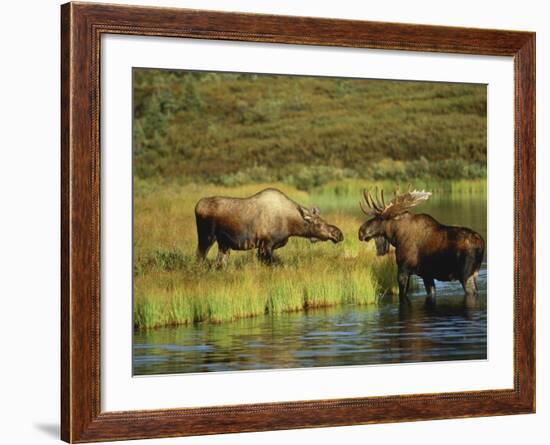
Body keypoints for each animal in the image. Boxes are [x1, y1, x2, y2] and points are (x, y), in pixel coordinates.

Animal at [195, 186, 344, 266]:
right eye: (318, 223)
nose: (339, 234)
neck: (290, 225)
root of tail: (196, 206)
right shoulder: (266, 245)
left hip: (224, 244)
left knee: (218, 264)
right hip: (206, 237)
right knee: (199, 258)